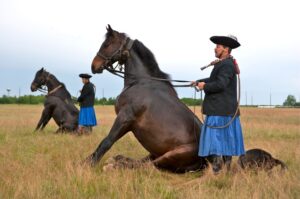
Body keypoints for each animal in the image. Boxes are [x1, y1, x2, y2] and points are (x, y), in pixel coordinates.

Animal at [84, 24, 206, 172]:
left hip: (173, 154)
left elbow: (107, 141)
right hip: (155, 152)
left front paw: (88, 164)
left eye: (107, 44)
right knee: (143, 161)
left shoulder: (125, 117)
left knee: (149, 165)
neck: (140, 82)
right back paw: (118, 159)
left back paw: (115, 165)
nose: (94, 65)